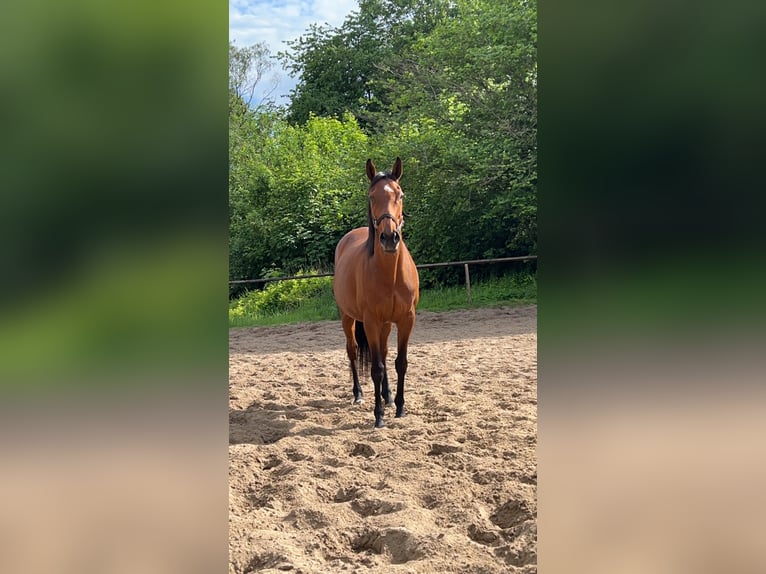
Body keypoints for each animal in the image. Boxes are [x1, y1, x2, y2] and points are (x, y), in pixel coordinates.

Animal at [334, 158, 420, 428]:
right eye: (372, 197)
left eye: (400, 194)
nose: (389, 238)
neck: (389, 274)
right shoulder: (370, 321)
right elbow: (376, 368)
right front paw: (379, 415)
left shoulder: (406, 320)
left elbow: (400, 362)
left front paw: (399, 406)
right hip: (348, 318)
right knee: (353, 351)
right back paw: (359, 394)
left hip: (386, 324)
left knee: (382, 352)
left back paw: (388, 396)